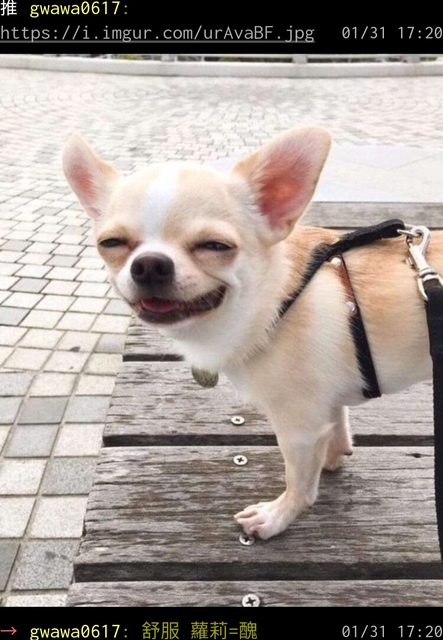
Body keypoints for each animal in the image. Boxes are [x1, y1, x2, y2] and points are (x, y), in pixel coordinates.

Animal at [63, 127, 437, 540]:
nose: (149, 264)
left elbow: (298, 480)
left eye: (215, 246)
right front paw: (333, 456)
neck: (273, 296)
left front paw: (278, 515)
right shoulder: (324, 403)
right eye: (111, 243)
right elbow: (338, 422)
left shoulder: (298, 428)